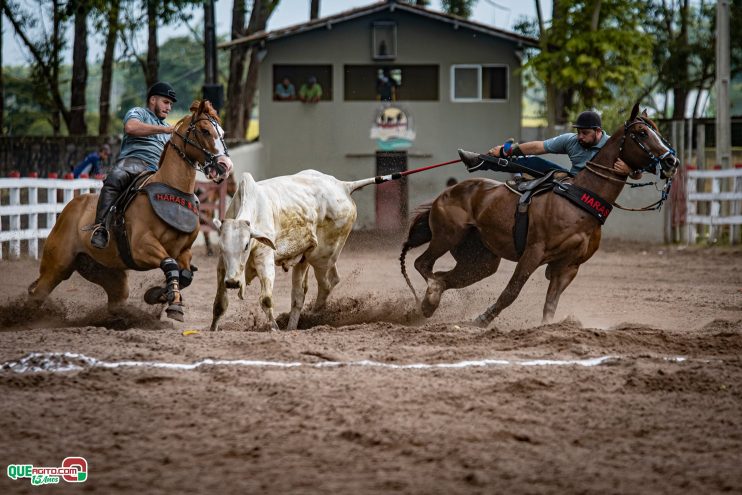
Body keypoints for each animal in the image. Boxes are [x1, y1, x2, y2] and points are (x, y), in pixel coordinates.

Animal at [29, 101, 232, 322]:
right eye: (205, 130)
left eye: (222, 132)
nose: (225, 166)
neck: (173, 190)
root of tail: (69, 208)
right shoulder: (141, 247)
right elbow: (170, 264)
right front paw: (172, 304)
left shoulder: (184, 251)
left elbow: (184, 274)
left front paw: (160, 295)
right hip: (56, 266)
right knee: (37, 293)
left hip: (107, 273)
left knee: (115, 301)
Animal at [211, 170, 378, 334]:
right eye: (221, 246)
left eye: (246, 245)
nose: (232, 282)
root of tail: (343, 186)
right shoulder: (222, 267)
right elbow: (220, 303)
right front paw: (213, 329)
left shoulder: (265, 259)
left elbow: (266, 299)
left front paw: (275, 328)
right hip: (307, 258)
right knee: (301, 294)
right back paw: (294, 325)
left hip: (322, 257)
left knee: (327, 283)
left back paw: (314, 314)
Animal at [402, 103, 680, 330]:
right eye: (642, 133)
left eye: (657, 132)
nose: (672, 162)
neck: (579, 200)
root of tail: (446, 193)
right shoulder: (533, 252)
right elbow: (511, 292)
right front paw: (480, 320)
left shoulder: (568, 267)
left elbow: (550, 304)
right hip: (448, 235)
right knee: (423, 265)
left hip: (481, 259)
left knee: (445, 276)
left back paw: (427, 304)